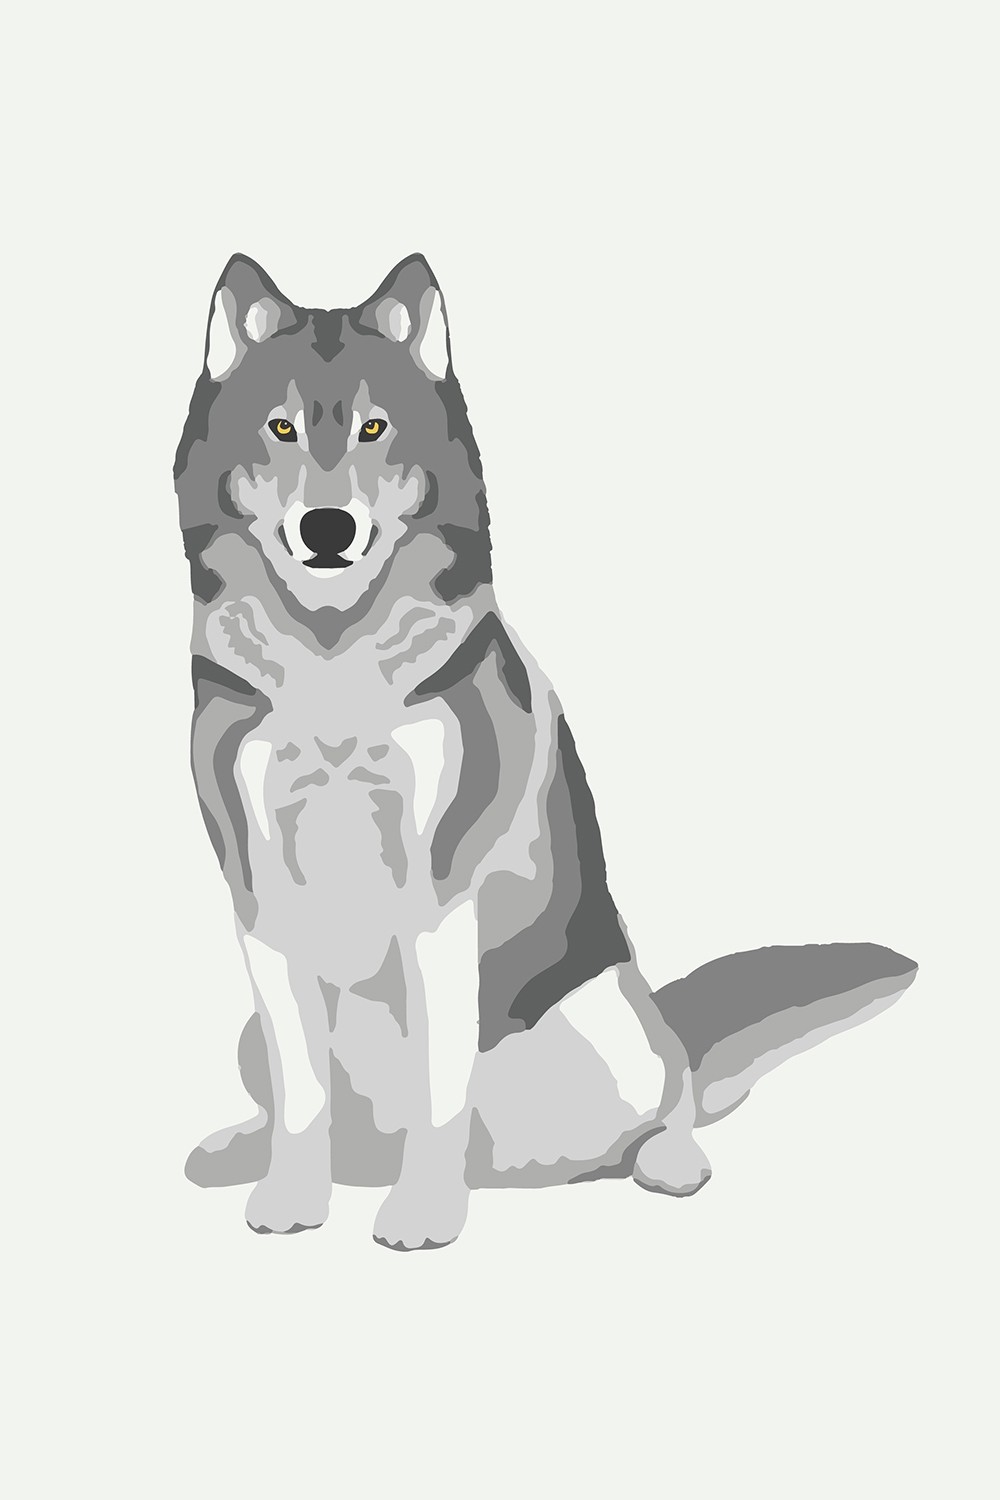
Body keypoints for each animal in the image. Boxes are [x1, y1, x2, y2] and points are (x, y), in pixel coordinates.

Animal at [174, 253, 917, 1249]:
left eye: (375, 428)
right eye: (281, 428)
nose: (327, 528)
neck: (330, 658)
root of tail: (517, 1169)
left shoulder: (439, 898)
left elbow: (439, 1090)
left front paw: (423, 1214)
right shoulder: (259, 895)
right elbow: (303, 1096)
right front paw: (291, 1197)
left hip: (617, 1027)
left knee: (673, 1095)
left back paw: (667, 1161)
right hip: (251, 1034)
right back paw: (246, 1150)